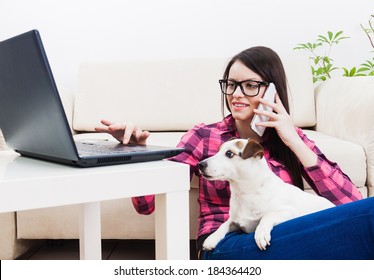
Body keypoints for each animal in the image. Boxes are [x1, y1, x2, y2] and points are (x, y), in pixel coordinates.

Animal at [200, 139, 334, 250]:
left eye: (229, 153)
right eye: (218, 151)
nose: (200, 164)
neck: (246, 192)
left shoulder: (288, 211)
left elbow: (267, 216)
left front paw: (261, 232)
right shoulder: (236, 221)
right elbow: (225, 224)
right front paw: (212, 237)